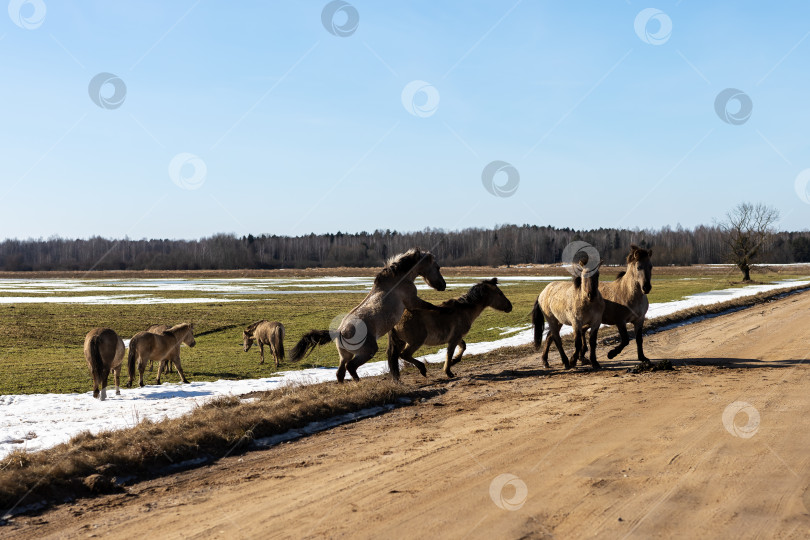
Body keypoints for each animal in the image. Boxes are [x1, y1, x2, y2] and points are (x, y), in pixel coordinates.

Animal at [290, 248, 447, 382]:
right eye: (437, 267)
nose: (443, 285)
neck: (398, 279)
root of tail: (339, 332)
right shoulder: (413, 301)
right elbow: (430, 306)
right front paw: (442, 309)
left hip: (345, 355)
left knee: (340, 373)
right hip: (367, 351)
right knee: (350, 367)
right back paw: (359, 382)